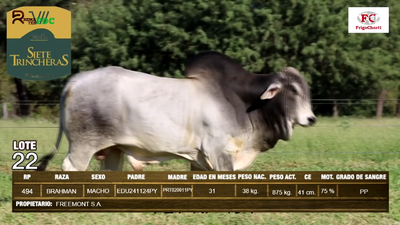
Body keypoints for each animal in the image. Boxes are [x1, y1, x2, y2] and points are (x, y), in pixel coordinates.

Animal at [36, 51, 316, 171]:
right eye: (293, 90)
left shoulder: (201, 158)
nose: (311, 118)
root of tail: (76, 80)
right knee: (72, 167)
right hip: (83, 145)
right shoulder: (219, 151)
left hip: (114, 149)